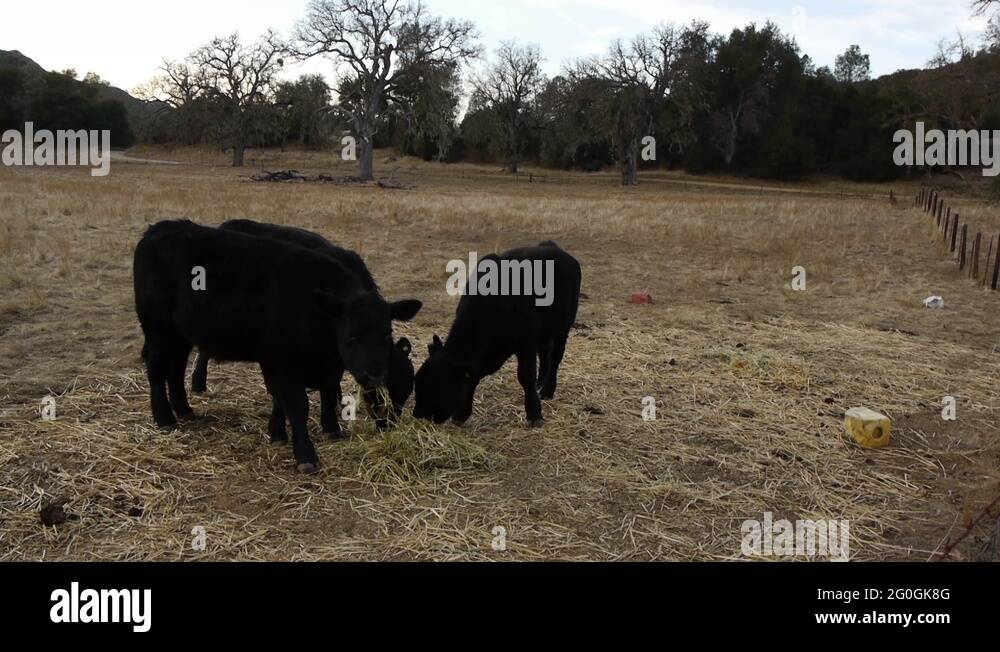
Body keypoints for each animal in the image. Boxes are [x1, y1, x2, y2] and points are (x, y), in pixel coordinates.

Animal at [414, 241, 581, 427]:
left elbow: (525, 377)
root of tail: (554, 248)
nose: (418, 414)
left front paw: (534, 414)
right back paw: (540, 384)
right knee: (545, 354)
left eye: (440, 387)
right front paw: (461, 414)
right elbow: (473, 378)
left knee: (555, 358)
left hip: (563, 328)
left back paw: (547, 390)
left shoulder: (526, 344)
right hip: (545, 332)